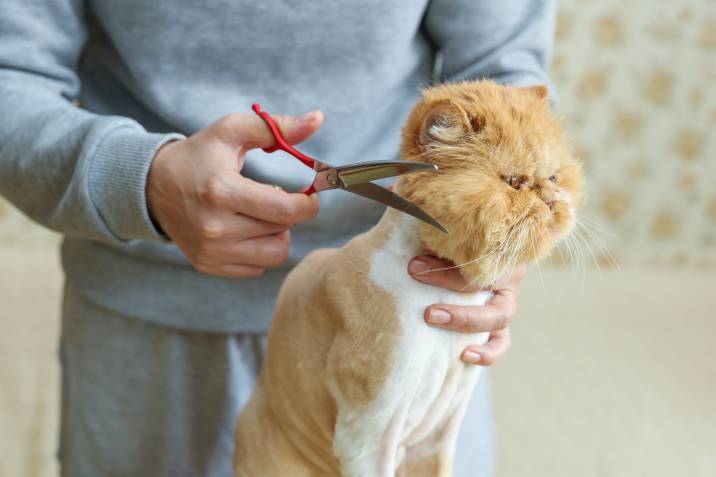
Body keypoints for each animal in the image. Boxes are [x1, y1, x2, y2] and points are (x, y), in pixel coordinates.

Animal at [234, 80, 580, 474]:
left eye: (553, 177)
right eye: (513, 181)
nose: (551, 198)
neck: (445, 298)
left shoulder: (437, 436)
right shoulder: (367, 439)